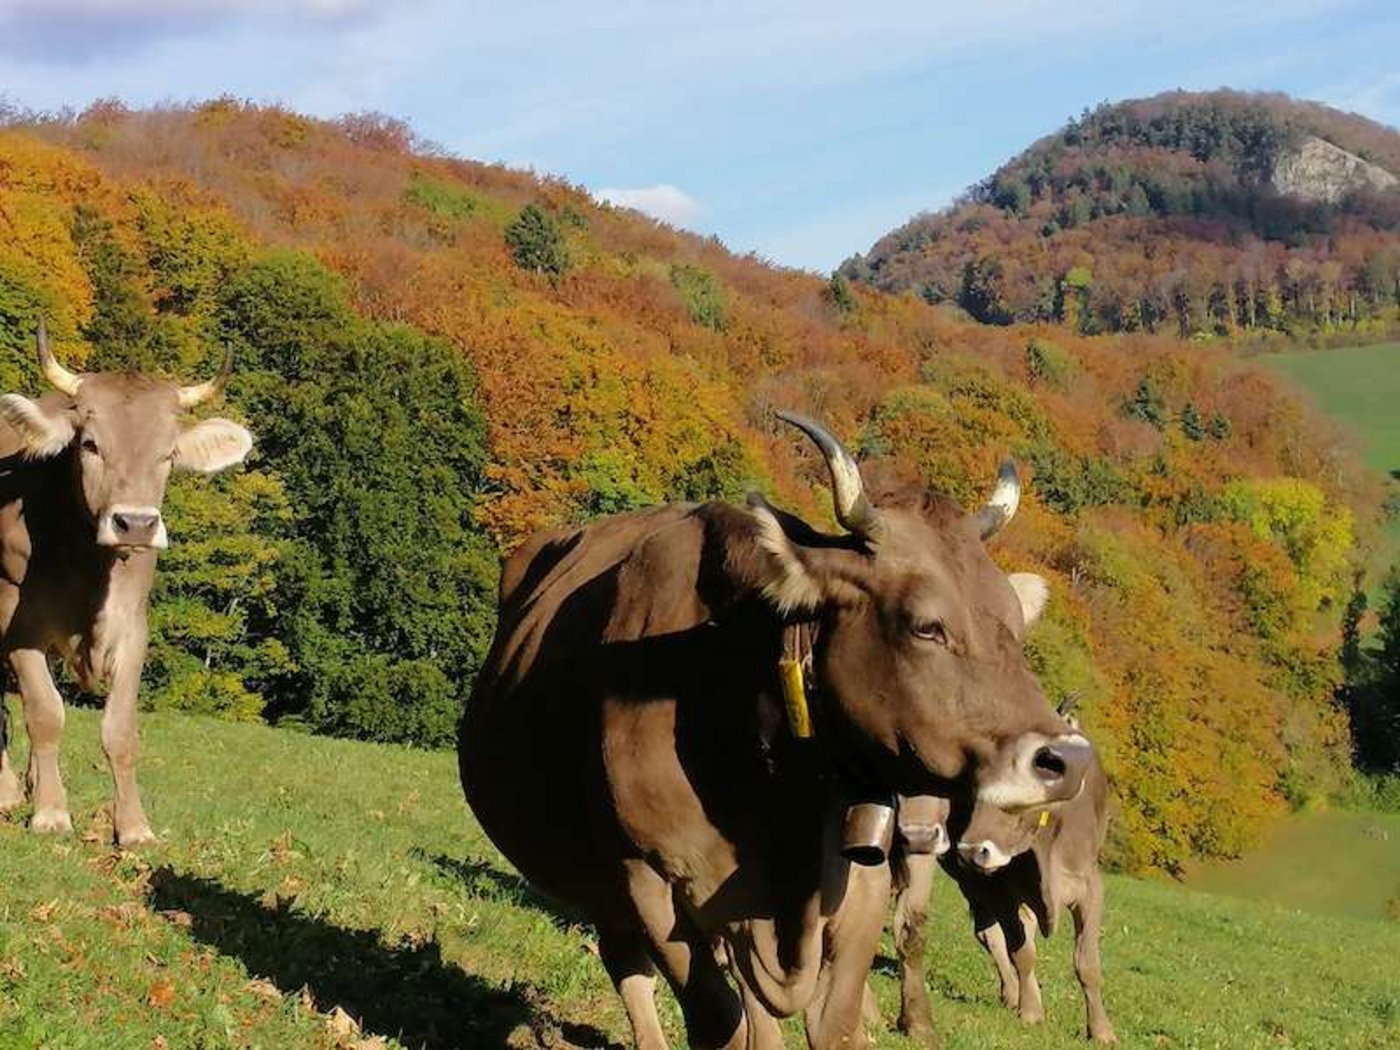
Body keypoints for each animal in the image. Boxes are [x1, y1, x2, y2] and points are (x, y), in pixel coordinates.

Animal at [0, 322, 253, 846]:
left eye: (168, 453)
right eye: (90, 445)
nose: (135, 524)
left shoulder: (132, 626)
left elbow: (120, 731)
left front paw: (134, 826)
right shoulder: (16, 619)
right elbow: (46, 713)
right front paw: (51, 813)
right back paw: (12, 792)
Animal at [887, 733, 1116, 1045]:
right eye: (974, 793)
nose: (970, 852)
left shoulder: (1089, 887)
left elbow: (1087, 963)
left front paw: (1102, 1030)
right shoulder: (1000, 889)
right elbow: (1022, 952)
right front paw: (1031, 1011)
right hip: (973, 883)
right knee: (993, 937)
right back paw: (1014, 994)